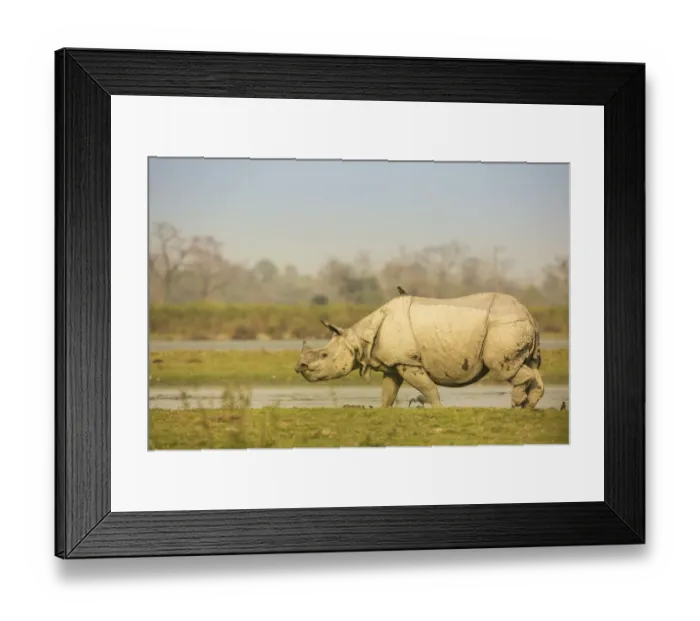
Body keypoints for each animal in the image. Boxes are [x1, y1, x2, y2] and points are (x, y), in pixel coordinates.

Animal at [294, 291, 544, 409]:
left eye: (324, 355)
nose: (299, 367)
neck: (358, 339)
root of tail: (528, 313)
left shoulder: (408, 362)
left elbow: (428, 388)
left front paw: (439, 409)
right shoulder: (393, 364)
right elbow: (388, 392)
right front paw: (382, 409)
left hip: (503, 326)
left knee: (504, 368)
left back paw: (517, 403)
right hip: (516, 326)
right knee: (530, 366)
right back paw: (526, 407)